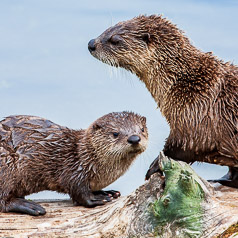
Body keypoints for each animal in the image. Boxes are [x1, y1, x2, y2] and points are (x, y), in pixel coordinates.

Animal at [0, 111, 148, 216]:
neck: (85, 156)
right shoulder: (73, 169)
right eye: (115, 133)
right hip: (6, 166)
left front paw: (107, 192)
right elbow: (77, 190)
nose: (134, 138)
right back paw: (29, 206)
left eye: (141, 129)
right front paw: (96, 199)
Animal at [88, 14, 238, 188]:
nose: (91, 44)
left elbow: (184, 148)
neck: (185, 85)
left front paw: (153, 168)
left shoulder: (195, 120)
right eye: (108, 29)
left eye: (115, 40)